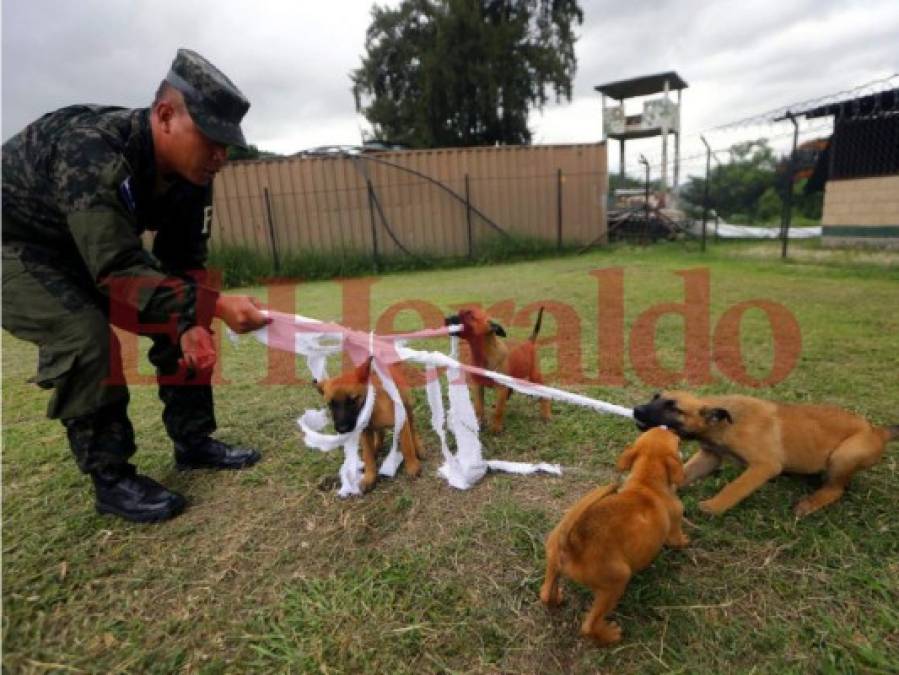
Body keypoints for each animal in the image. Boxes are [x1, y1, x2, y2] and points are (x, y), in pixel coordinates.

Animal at [314, 360, 428, 492]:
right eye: (330, 404)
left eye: (353, 400)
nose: (342, 429)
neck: (372, 406)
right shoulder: (364, 431)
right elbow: (368, 455)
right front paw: (370, 477)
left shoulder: (402, 422)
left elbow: (407, 446)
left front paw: (412, 466)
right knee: (380, 433)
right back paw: (377, 447)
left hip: (407, 407)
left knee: (412, 428)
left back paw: (418, 447)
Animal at [446, 306, 552, 434]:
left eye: (470, 315)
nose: (446, 319)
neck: (484, 354)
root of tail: (529, 342)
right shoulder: (477, 386)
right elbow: (479, 408)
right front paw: (480, 424)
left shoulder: (500, 388)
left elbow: (498, 411)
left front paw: (496, 428)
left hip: (535, 376)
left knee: (544, 395)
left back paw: (546, 414)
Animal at [540, 430, 688, 648]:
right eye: (677, 441)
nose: (676, 431)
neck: (646, 482)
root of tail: (572, 543)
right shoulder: (675, 523)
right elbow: (678, 539)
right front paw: (686, 541)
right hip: (616, 582)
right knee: (589, 625)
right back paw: (609, 635)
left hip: (552, 562)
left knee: (544, 593)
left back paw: (555, 598)